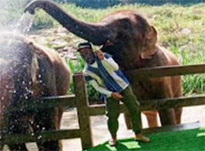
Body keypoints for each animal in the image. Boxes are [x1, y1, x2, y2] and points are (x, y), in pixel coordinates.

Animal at [24, 0, 182, 128]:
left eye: (125, 25)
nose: (29, 10)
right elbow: (128, 115)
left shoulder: (161, 73)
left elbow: (166, 111)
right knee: (150, 114)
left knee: (176, 110)